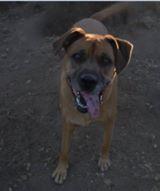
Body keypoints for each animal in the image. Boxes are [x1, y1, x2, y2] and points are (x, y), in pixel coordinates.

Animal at [52, 2, 134, 184]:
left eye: (106, 61)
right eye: (77, 56)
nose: (88, 81)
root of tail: (91, 19)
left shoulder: (110, 121)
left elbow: (106, 143)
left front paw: (104, 159)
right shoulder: (67, 124)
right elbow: (63, 150)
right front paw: (61, 168)